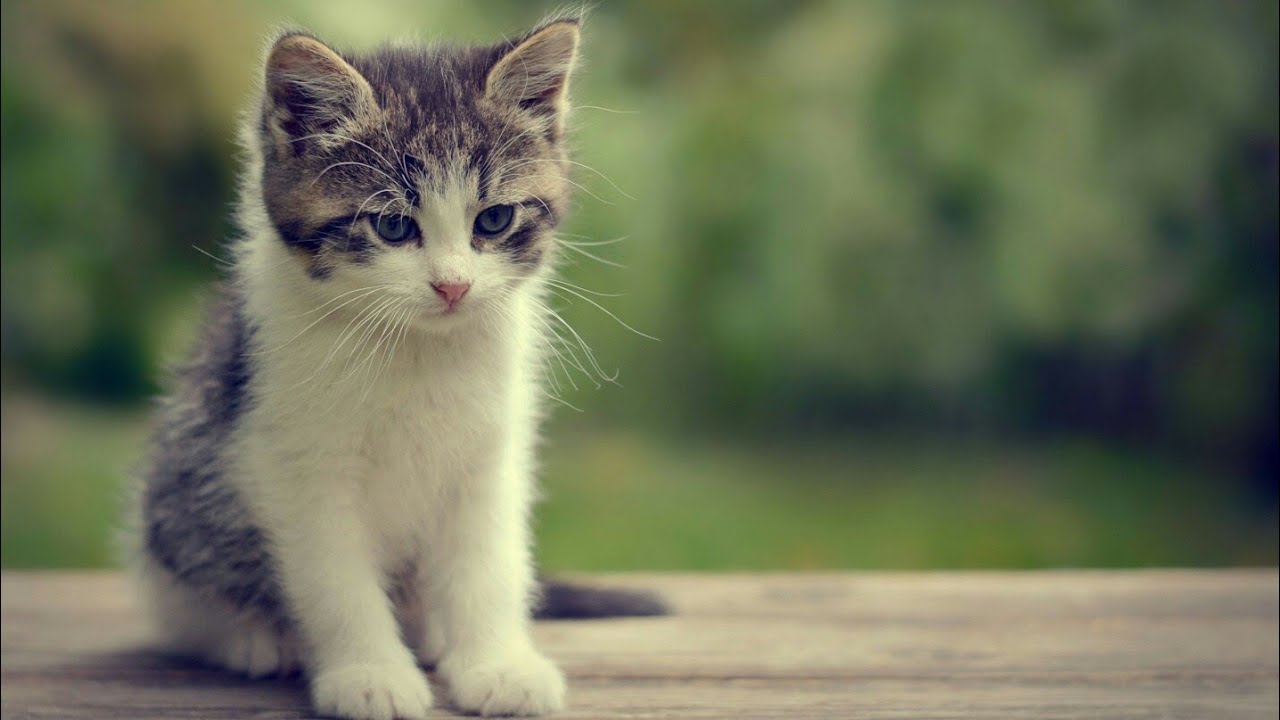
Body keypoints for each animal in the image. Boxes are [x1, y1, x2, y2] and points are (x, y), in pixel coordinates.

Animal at [128, 16, 660, 717]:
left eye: (494, 219)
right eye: (391, 225)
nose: (453, 286)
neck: (415, 349)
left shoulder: (491, 452)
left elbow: (488, 562)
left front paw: (497, 663)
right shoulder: (292, 459)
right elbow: (335, 579)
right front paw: (369, 673)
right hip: (178, 492)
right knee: (181, 596)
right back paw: (254, 637)